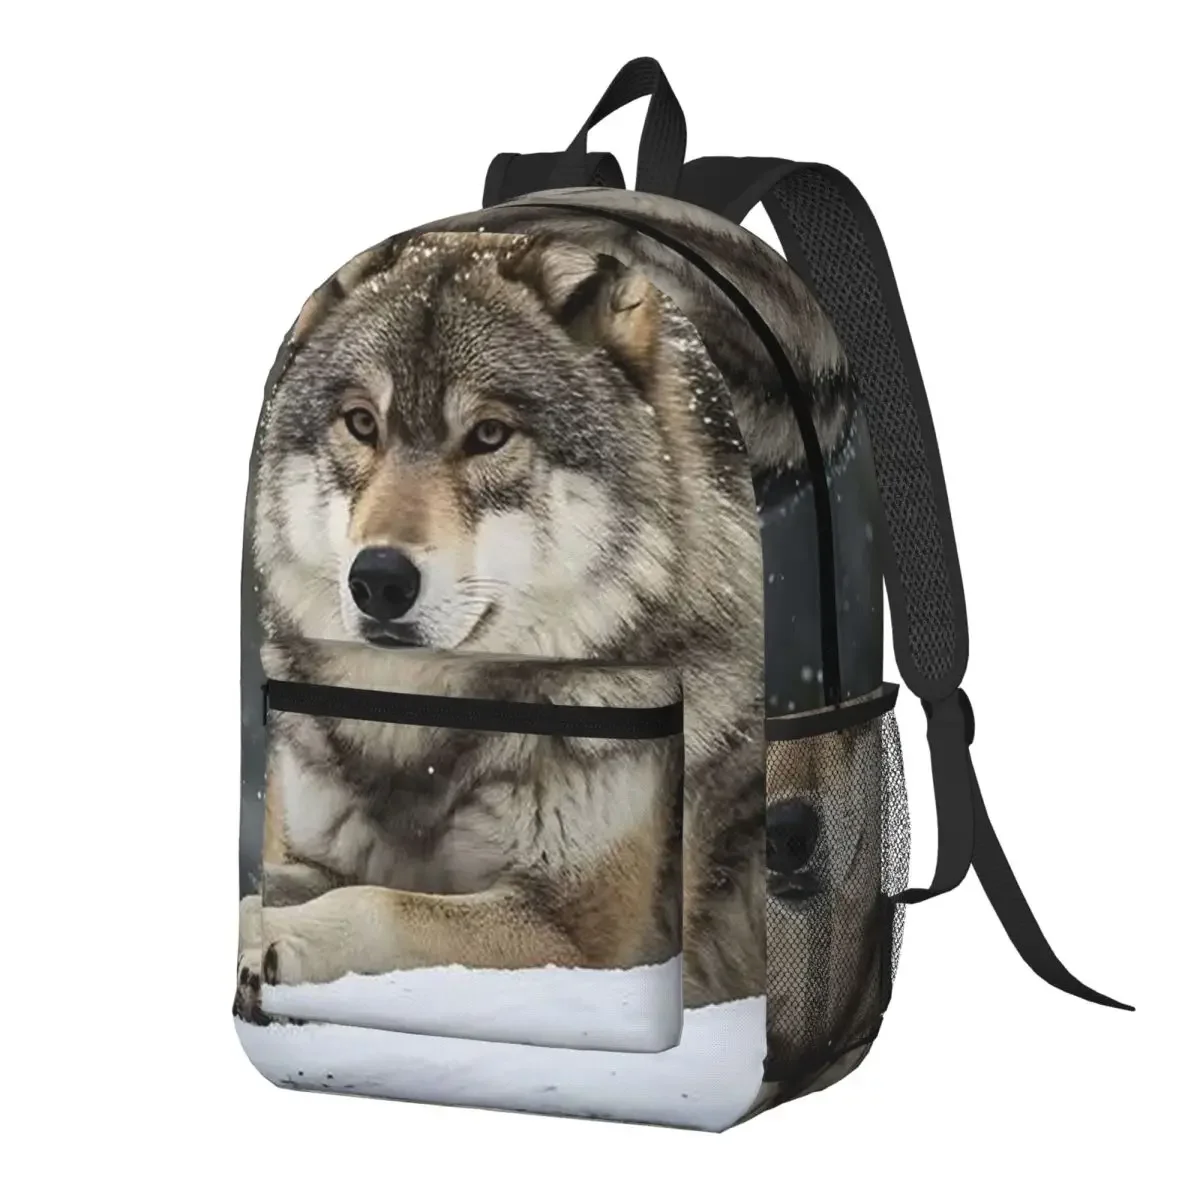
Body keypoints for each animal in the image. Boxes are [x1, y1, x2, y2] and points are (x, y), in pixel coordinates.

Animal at [237, 230, 766, 1020]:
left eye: (489, 434)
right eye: (362, 424)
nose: (379, 579)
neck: (421, 732)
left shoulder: (586, 936)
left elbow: (380, 902)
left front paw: (275, 942)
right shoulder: (304, 852)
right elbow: (260, 891)